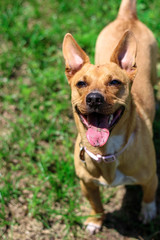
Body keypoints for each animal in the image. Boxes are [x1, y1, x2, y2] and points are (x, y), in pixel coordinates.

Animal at [62, 0, 158, 234]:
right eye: (81, 83)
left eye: (114, 82)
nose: (94, 99)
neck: (106, 152)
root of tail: (127, 17)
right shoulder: (86, 184)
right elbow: (96, 204)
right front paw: (96, 221)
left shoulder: (151, 177)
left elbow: (149, 196)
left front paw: (148, 212)